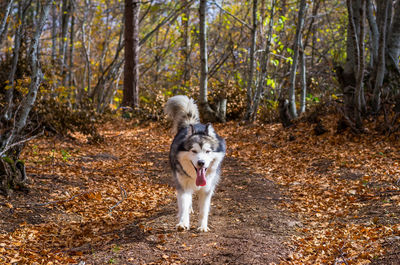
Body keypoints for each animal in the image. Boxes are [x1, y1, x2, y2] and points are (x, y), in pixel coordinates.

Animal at [163, 95, 225, 231]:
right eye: (194, 151)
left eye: (207, 151)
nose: (201, 162)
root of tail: (191, 124)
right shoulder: (183, 186)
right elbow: (184, 205)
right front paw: (183, 223)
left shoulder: (207, 190)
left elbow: (203, 211)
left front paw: (202, 226)